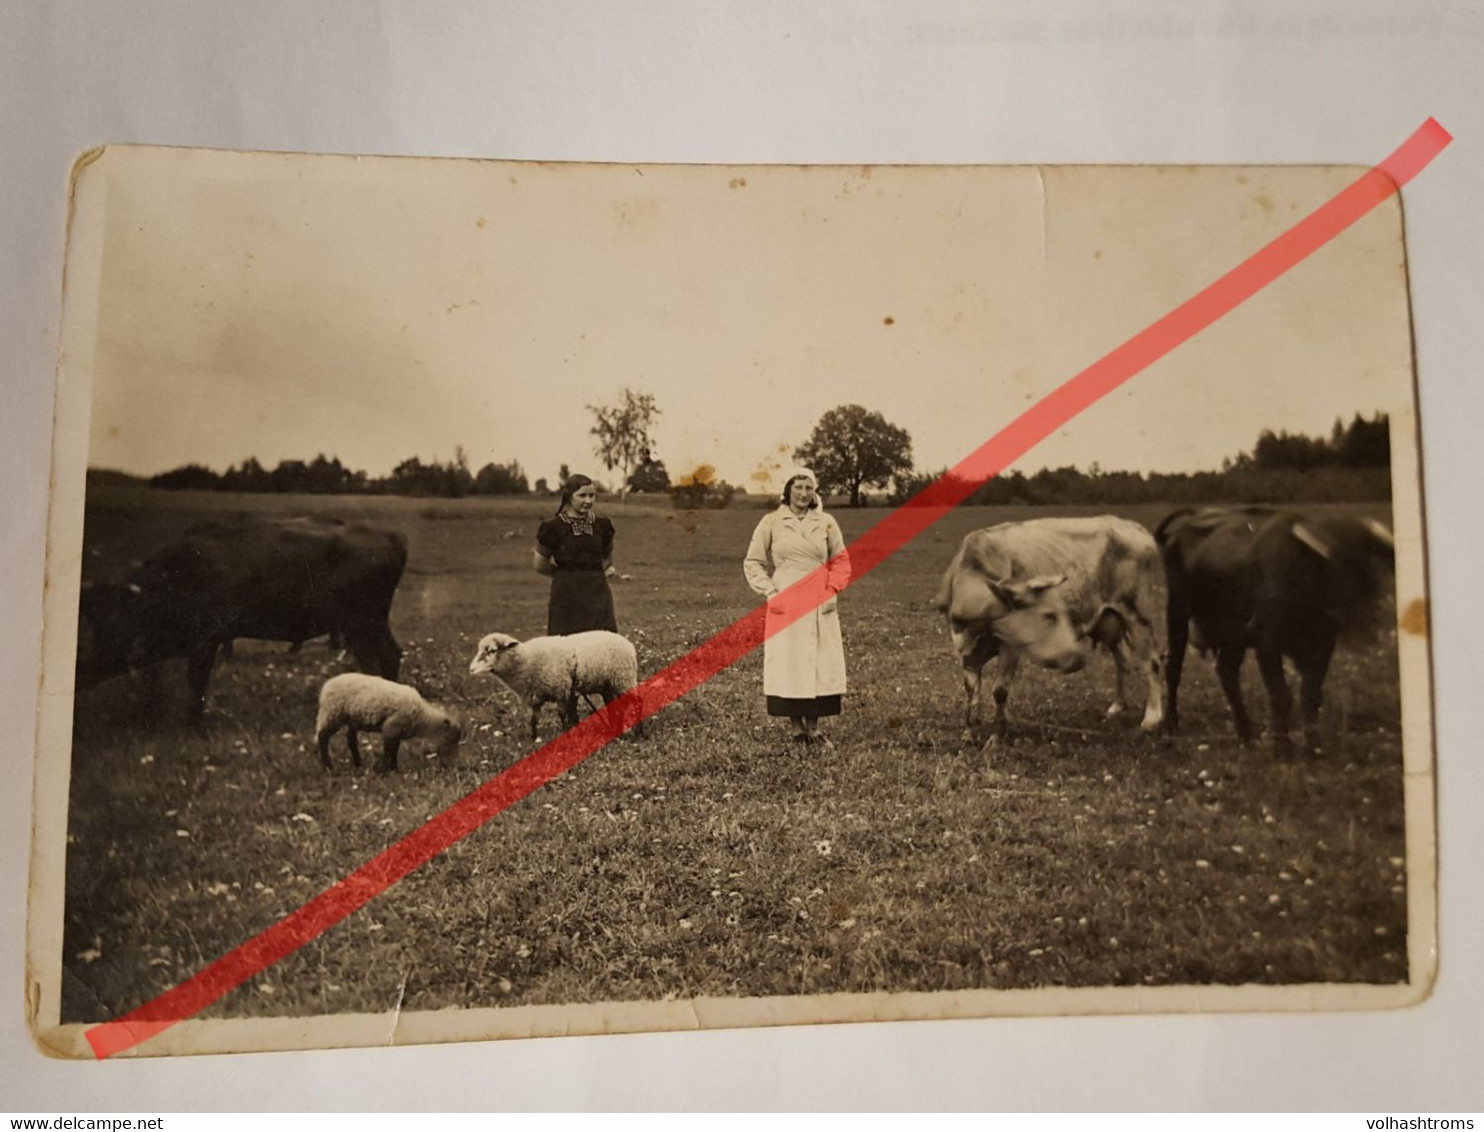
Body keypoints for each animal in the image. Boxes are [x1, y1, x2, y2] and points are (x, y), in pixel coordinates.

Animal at [78, 516, 409, 718]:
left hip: (360, 624)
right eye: (97, 623)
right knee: (390, 655)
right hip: (371, 624)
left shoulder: (206, 640)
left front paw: (193, 724)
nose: (84, 671)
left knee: (373, 664)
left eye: (116, 622)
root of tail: (390, 536)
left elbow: (195, 680)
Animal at [307, 676, 457, 777]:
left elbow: (394, 750)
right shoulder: (391, 728)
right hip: (333, 714)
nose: (448, 766)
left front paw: (394, 768)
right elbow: (388, 751)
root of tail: (326, 687)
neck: (423, 718)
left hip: (352, 718)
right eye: (451, 740)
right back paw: (328, 767)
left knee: (350, 739)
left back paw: (358, 763)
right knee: (323, 737)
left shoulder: (397, 731)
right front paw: (384, 771)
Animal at [468, 629, 644, 744]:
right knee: (614, 707)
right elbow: (533, 719)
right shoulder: (536, 697)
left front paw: (565, 735)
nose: (471, 669)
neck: (525, 661)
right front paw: (534, 740)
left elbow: (562, 715)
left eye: (491, 651)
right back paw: (615, 731)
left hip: (623, 679)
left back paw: (639, 733)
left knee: (637, 703)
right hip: (608, 685)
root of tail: (627, 643)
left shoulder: (561, 690)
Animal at [931, 519, 1163, 747]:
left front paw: (997, 737)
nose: (1078, 658)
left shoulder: (1011, 647)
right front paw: (969, 732)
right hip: (1108, 621)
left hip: (1138, 613)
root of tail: (1133, 526)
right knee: (1122, 659)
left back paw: (1151, 720)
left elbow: (1000, 691)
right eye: (1049, 615)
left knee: (1152, 661)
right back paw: (1118, 706)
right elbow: (971, 690)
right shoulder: (964, 646)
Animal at [1157, 504, 1389, 753]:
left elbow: (1311, 695)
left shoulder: (1324, 644)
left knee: (1226, 671)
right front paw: (1282, 747)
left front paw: (1314, 747)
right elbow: (1281, 695)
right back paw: (1170, 722)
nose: (1368, 619)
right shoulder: (1266, 642)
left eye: (1369, 562)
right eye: (1338, 563)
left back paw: (1246, 733)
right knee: (1173, 668)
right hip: (1177, 610)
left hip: (1233, 635)